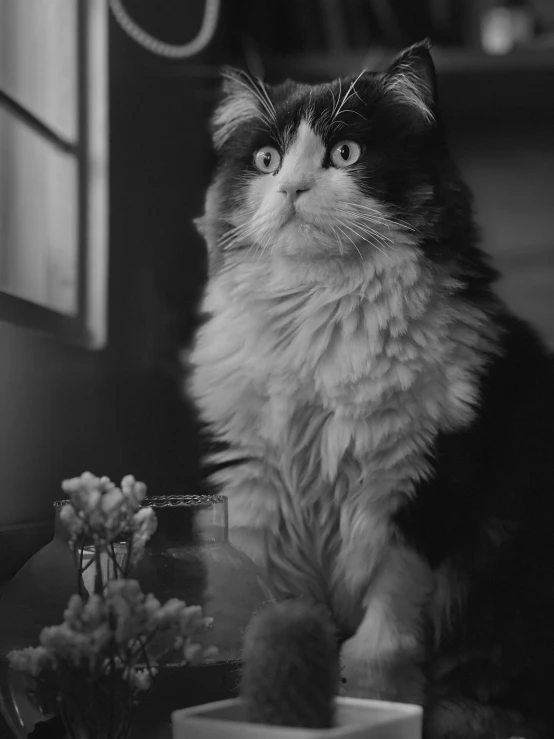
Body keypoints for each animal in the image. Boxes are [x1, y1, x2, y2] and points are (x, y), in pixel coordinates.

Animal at [185, 42, 552, 739]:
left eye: (346, 154)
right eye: (267, 161)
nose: (293, 188)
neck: (319, 317)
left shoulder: (419, 492)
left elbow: (381, 644)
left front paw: (384, 709)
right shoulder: (259, 499)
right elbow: (268, 624)